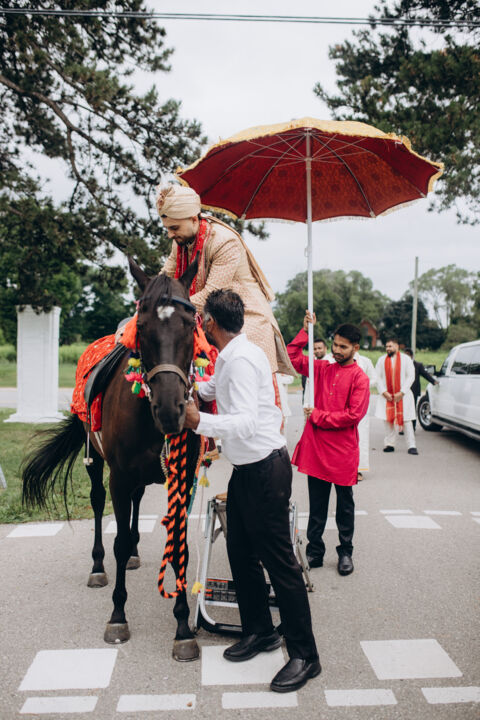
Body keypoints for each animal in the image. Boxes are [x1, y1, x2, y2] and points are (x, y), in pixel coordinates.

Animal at [22, 256, 203, 662]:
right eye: (143, 325)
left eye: (190, 324)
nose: (170, 409)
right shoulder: (118, 475)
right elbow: (117, 539)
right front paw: (118, 616)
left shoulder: (182, 478)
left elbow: (179, 547)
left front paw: (183, 626)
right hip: (99, 463)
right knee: (98, 503)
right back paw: (98, 565)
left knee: (136, 502)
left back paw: (135, 549)